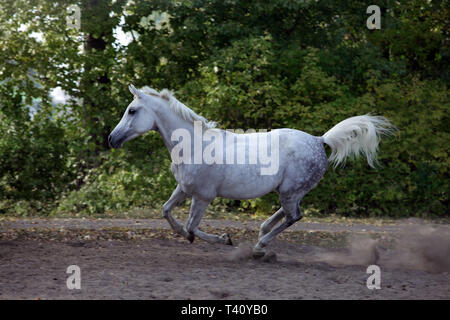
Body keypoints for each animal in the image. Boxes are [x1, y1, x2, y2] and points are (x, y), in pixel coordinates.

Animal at [108, 85, 394, 258]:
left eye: (132, 110)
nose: (112, 138)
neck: (193, 145)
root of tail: (319, 140)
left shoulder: (202, 196)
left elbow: (192, 225)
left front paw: (224, 239)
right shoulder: (183, 189)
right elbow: (166, 211)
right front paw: (185, 236)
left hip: (290, 191)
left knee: (294, 216)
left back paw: (259, 246)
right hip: (290, 191)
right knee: (289, 214)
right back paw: (262, 233)